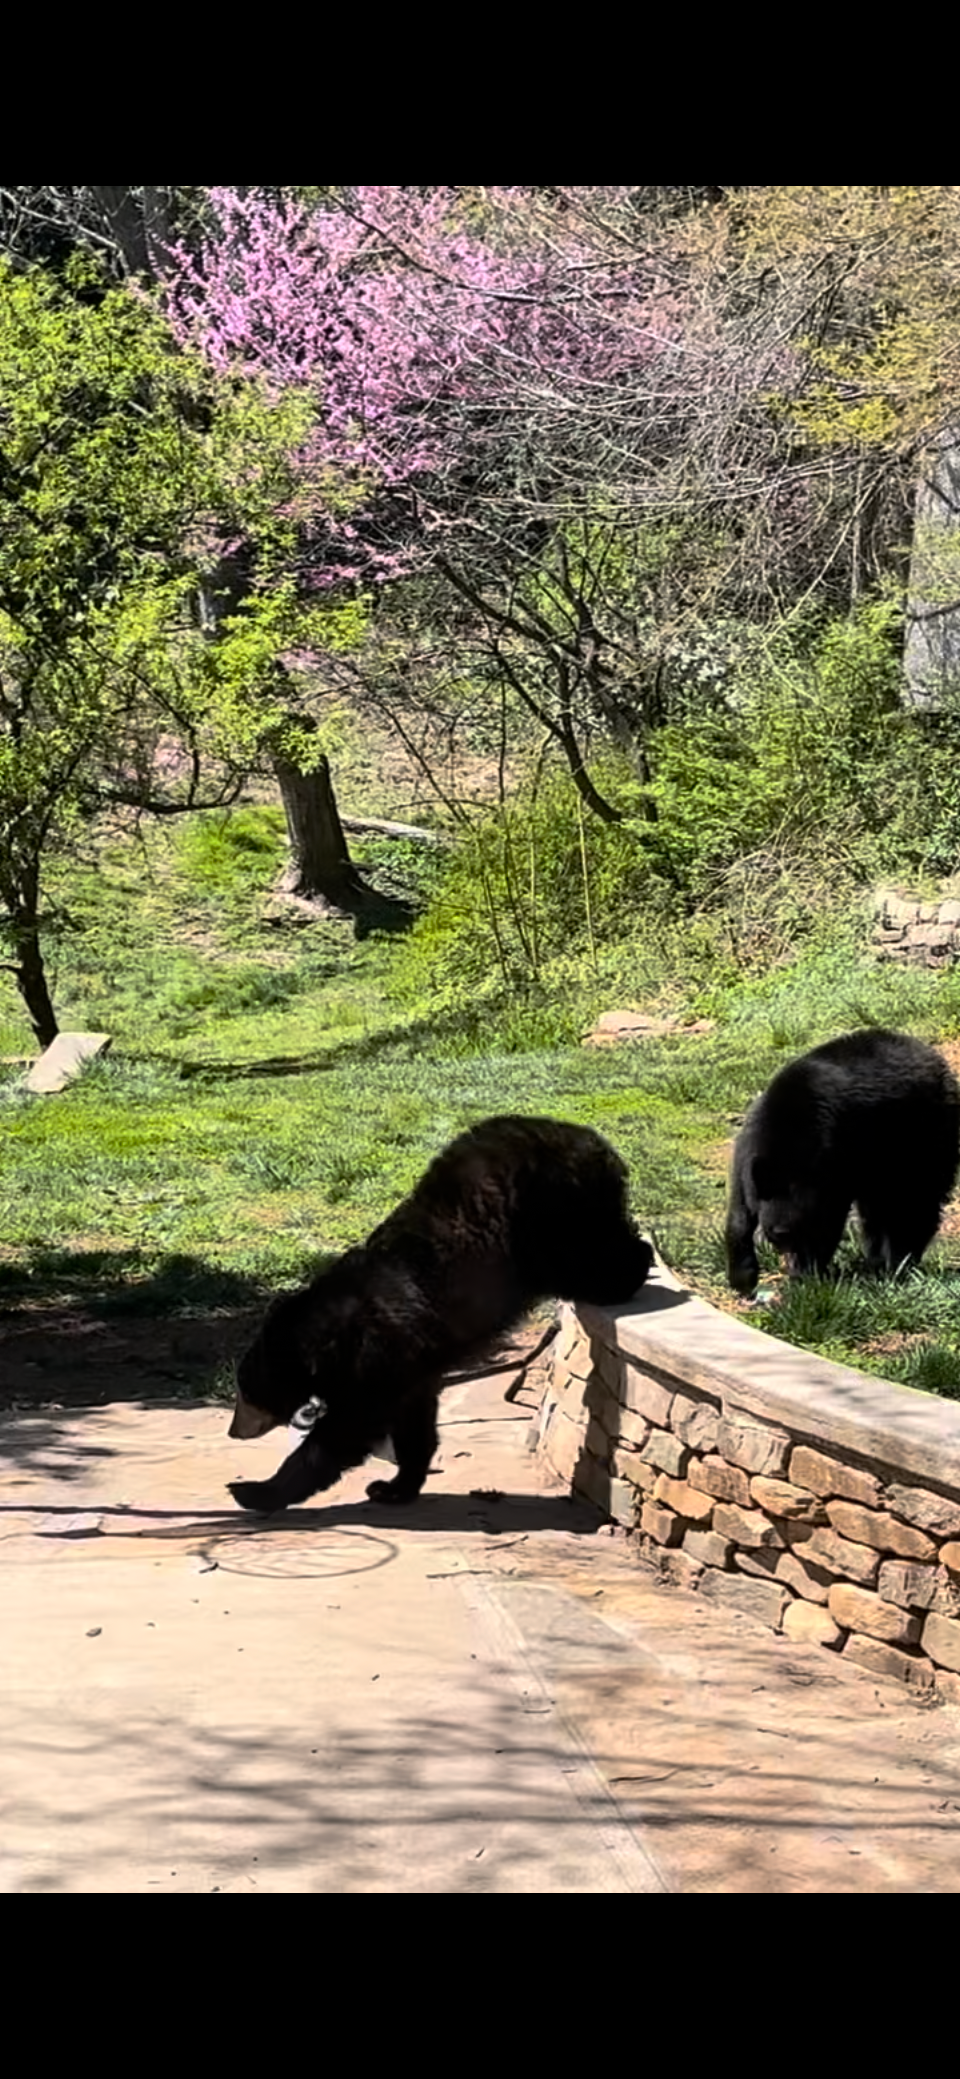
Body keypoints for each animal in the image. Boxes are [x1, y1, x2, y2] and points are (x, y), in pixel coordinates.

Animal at [227, 1122, 648, 1513]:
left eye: (245, 1390)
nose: (233, 1431)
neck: (332, 1336)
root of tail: (592, 1140)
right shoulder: (410, 1363)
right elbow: (413, 1420)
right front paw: (394, 1486)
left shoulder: (378, 1351)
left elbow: (350, 1425)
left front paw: (255, 1491)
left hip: (554, 1210)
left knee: (593, 1254)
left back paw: (630, 1271)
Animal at [727, 1027, 960, 1288]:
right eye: (778, 1233)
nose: (792, 1265)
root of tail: (933, 1055)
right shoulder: (748, 1153)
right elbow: (739, 1213)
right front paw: (742, 1276)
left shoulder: (836, 1159)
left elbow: (831, 1218)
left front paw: (809, 1274)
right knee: (880, 1209)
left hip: (924, 1134)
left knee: (916, 1200)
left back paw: (899, 1264)